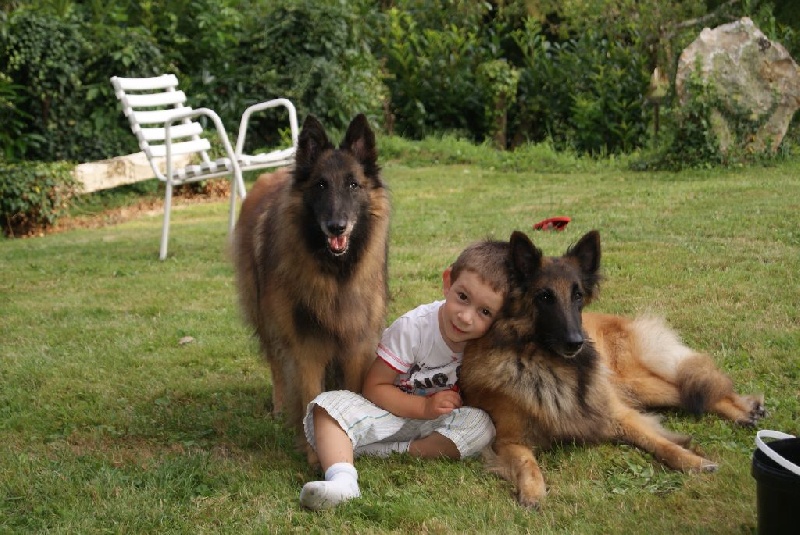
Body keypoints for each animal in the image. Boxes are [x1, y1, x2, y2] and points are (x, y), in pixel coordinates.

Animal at [231, 114, 390, 460]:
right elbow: (307, 397)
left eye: (353, 184)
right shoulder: (305, 348)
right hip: (267, 320)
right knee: (276, 365)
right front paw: (315, 454)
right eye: (320, 184)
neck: (335, 276)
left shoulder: (357, 343)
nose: (336, 227)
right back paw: (279, 408)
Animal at [460, 230, 764, 506]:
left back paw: (744, 410)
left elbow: (662, 443)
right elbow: (527, 464)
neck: (549, 365)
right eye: (544, 297)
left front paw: (693, 460)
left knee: (693, 388)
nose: (576, 343)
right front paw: (533, 492)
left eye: (578, 295)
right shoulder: (508, 440)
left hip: (635, 385)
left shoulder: (617, 414)